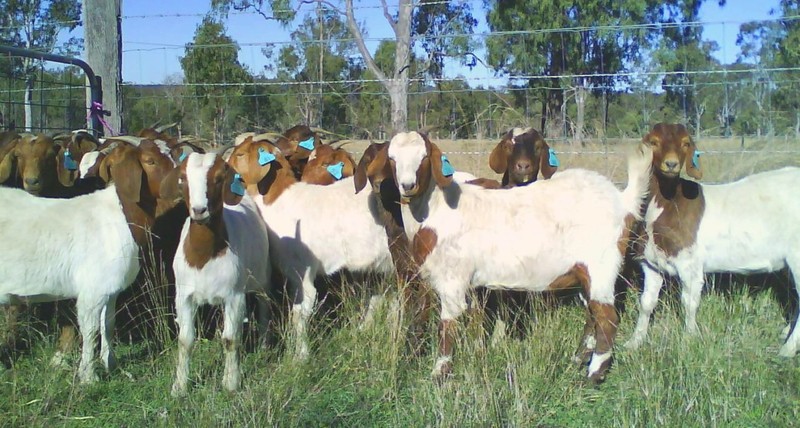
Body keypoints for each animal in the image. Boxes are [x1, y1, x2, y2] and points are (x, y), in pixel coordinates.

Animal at [0, 141, 177, 384]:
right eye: (150, 160)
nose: (182, 181)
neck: (121, 216)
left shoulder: (109, 289)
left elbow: (107, 325)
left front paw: (110, 364)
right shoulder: (92, 291)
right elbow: (91, 330)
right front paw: (89, 376)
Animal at [166, 152, 272, 396]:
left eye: (219, 178)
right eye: (183, 178)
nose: (199, 210)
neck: (204, 258)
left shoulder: (234, 296)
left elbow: (231, 339)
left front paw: (231, 382)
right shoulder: (183, 295)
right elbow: (185, 340)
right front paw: (179, 386)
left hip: (262, 277)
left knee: (264, 306)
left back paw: (263, 345)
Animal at [366, 130, 652, 382]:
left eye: (424, 157)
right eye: (392, 158)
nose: (407, 186)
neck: (435, 209)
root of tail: (622, 201)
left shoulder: (452, 280)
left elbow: (447, 326)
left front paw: (439, 373)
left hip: (601, 265)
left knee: (607, 318)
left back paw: (593, 376)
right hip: (583, 272)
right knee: (593, 314)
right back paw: (579, 359)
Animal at [624, 122, 800, 356]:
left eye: (685, 143)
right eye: (654, 142)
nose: (671, 164)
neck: (667, 203)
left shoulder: (690, 264)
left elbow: (689, 303)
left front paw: (689, 340)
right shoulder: (651, 263)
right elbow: (646, 303)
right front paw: (634, 342)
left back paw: (787, 350)